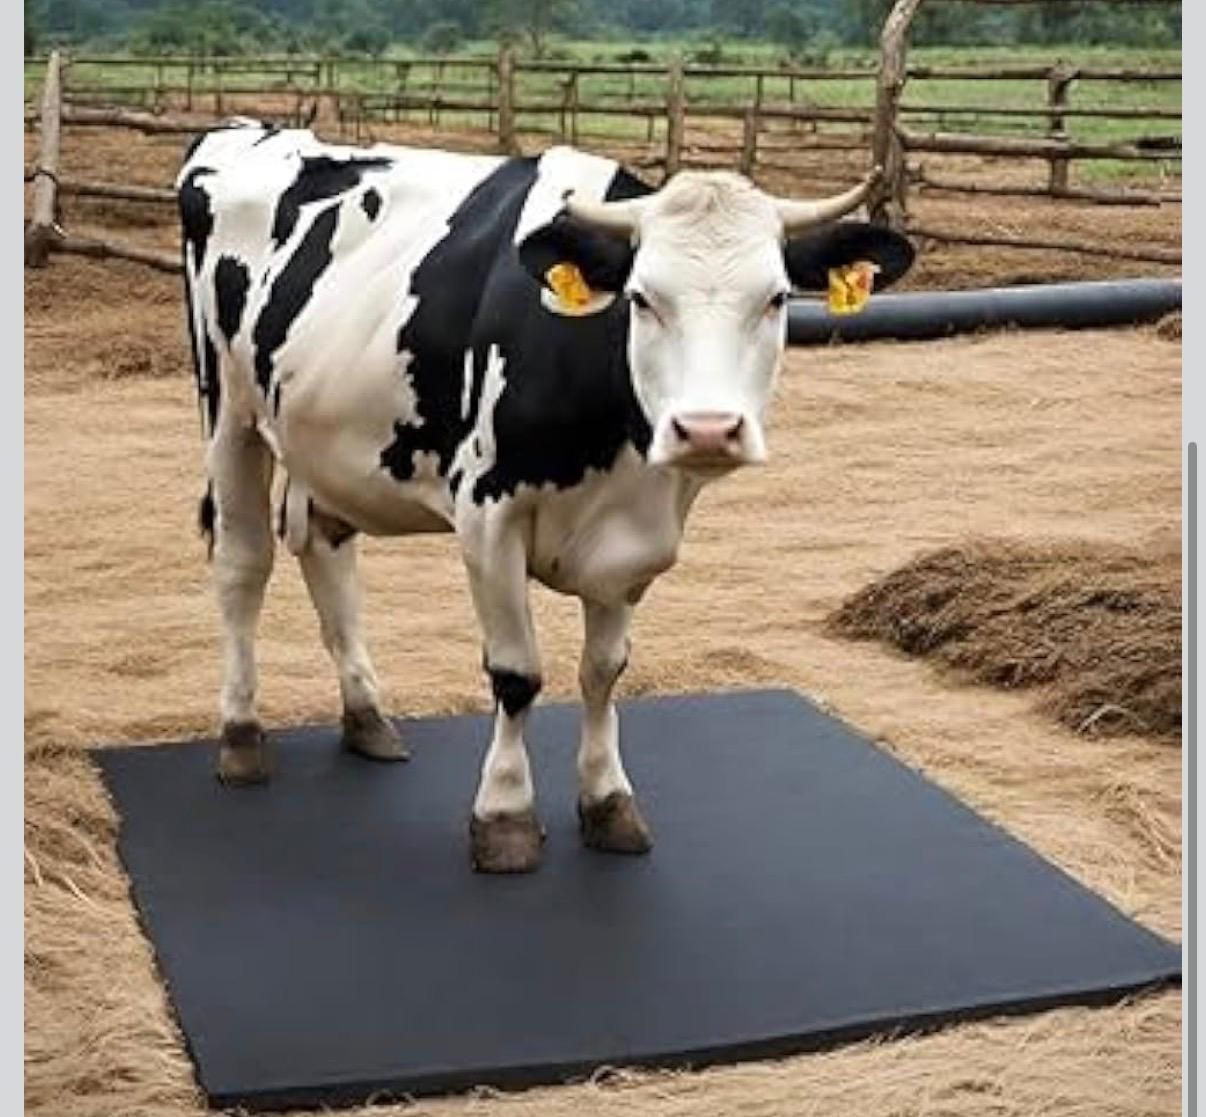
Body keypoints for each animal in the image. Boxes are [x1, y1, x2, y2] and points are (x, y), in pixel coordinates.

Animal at [176, 120, 915, 873]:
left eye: (775, 298)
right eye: (641, 298)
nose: (707, 428)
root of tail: (248, 129)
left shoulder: (635, 541)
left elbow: (604, 672)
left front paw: (608, 801)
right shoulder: (487, 517)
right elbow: (517, 674)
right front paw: (504, 813)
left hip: (325, 435)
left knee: (323, 546)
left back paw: (367, 716)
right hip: (229, 411)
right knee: (243, 565)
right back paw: (241, 734)